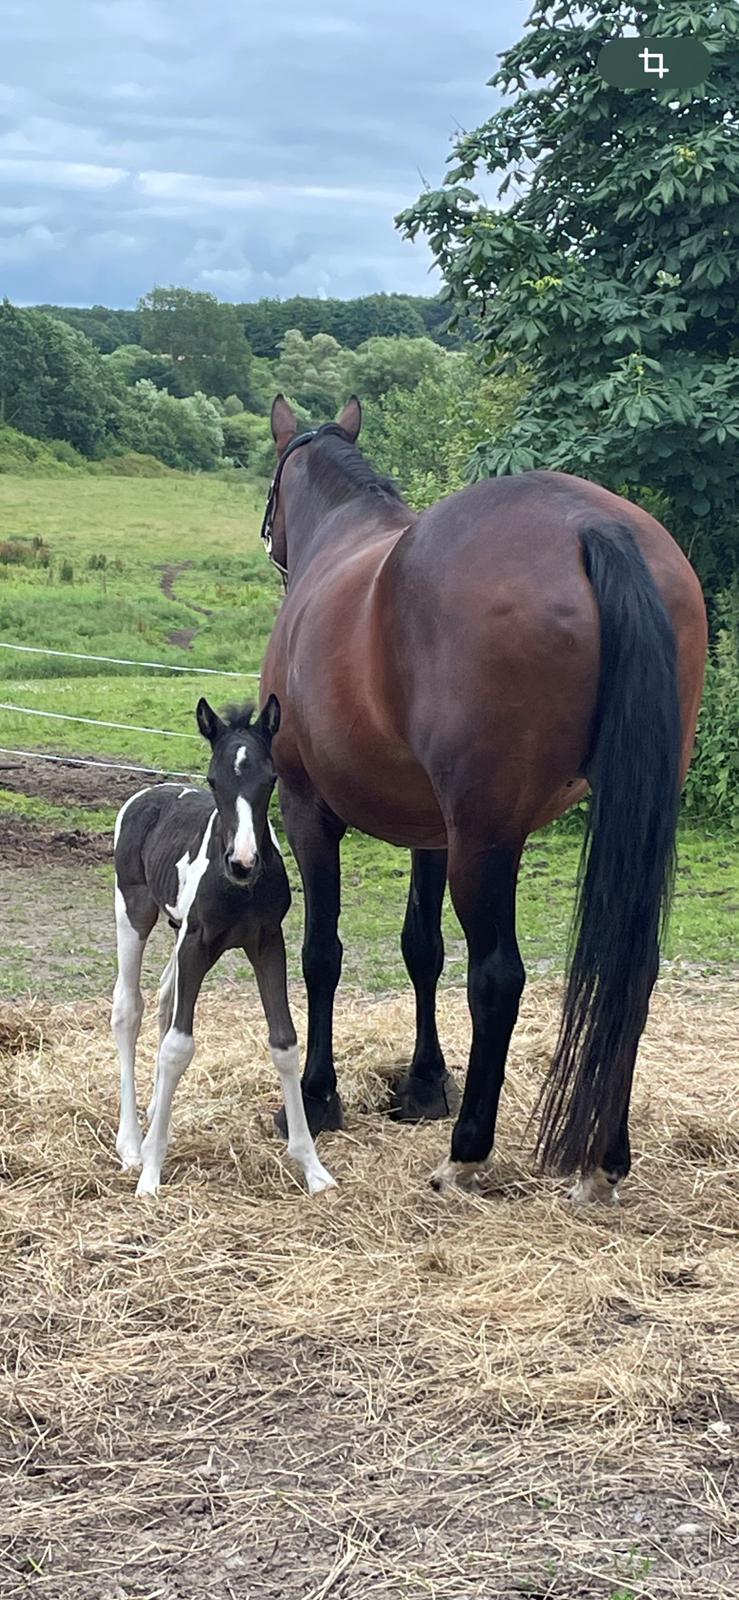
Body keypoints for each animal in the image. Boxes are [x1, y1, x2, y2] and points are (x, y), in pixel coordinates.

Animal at [110, 697, 334, 1203]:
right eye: (214, 780)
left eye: (270, 778)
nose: (243, 862)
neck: (238, 889)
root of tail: (148, 793)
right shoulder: (197, 943)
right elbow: (177, 1046)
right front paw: (151, 1175)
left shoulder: (267, 942)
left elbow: (284, 1041)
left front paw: (312, 1167)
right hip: (133, 911)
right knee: (129, 1008)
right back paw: (132, 1144)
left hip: (175, 931)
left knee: (163, 1001)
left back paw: (150, 1124)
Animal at [259, 396, 703, 1203]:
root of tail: (593, 525)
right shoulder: (431, 831)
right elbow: (421, 950)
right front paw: (424, 1085)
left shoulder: (308, 812)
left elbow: (321, 953)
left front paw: (315, 1097)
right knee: (634, 971)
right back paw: (604, 1160)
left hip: (486, 840)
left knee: (498, 977)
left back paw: (468, 1152)